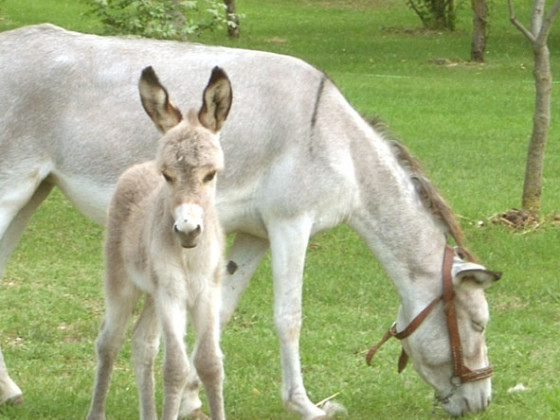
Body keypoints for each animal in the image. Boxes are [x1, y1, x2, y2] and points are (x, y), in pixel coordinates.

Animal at [86, 66, 231, 420]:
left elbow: (209, 363)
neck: (190, 257)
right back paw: (96, 412)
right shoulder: (172, 294)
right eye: (167, 175)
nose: (188, 230)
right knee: (109, 342)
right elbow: (176, 368)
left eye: (211, 174)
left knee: (142, 344)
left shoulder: (208, 292)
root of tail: (138, 166)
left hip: (153, 294)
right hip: (122, 284)